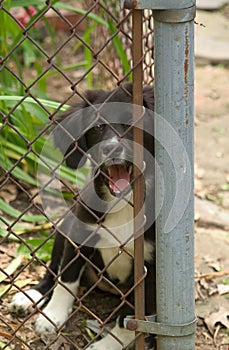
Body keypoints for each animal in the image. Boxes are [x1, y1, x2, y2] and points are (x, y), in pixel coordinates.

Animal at [9, 84, 157, 350]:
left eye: (133, 122)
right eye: (97, 127)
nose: (111, 148)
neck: (122, 203)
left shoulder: (151, 272)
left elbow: (130, 320)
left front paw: (107, 345)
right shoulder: (79, 236)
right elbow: (66, 279)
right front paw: (53, 316)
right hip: (65, 226)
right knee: (52, 273)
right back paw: (30, 296)